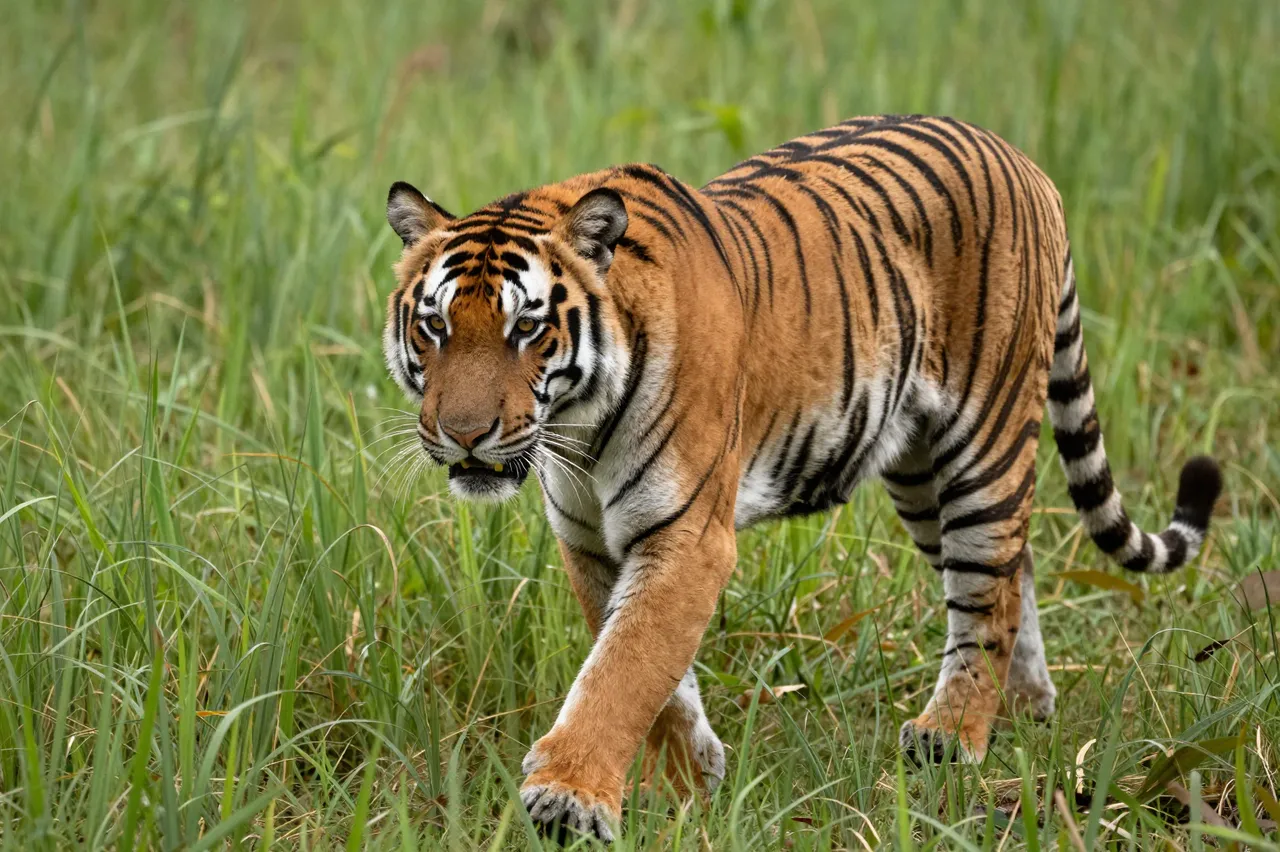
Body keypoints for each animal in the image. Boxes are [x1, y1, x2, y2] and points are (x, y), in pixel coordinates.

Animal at [381, 114, 1222, 842]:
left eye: (526, 328)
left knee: (987, 591)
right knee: (1013, 570)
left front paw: (569, 798)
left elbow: (624, 668)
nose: (463, 434)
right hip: (919, 476)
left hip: (982, 439)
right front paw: (688, 778)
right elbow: (641, 665)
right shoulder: (591, 538)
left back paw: (953, 734)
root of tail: (1020, 157)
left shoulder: (686, 535)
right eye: (436, 327)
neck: (578, 426)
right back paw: (1026, 706)